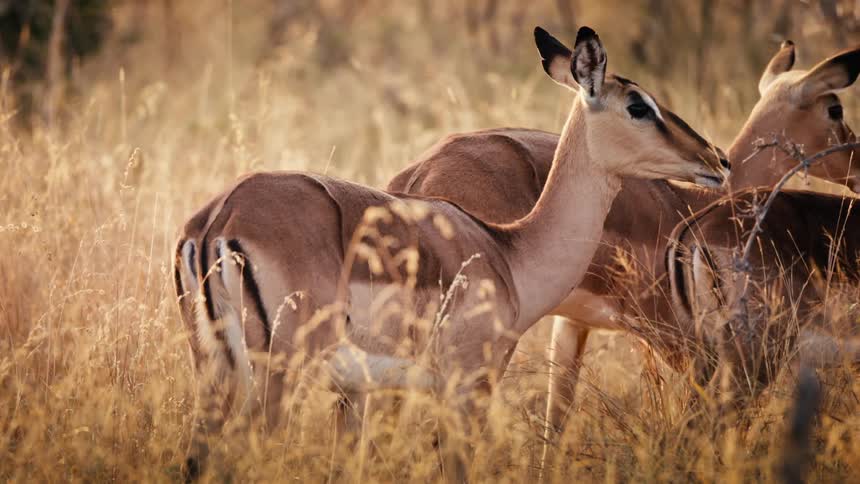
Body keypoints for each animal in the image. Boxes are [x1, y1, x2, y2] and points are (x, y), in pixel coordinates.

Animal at [173, 26, 726, 480]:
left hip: (215, 373)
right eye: (638, 105)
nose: (714, 159)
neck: (508, 253)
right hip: (274, 379)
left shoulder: (367, 392)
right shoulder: (467, 390)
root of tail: (221, 217)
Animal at [388, 41, 860, 472]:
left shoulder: (572, 324)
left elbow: (556, 420)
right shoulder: (674, 337)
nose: (856, 165)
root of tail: (417, 176)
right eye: (835, 108)